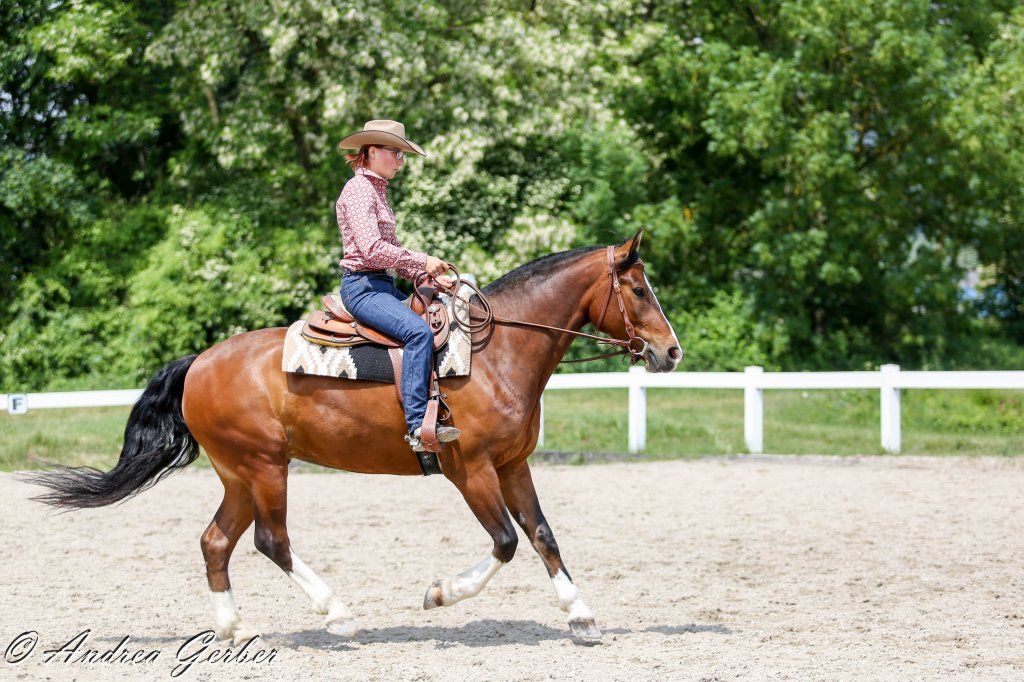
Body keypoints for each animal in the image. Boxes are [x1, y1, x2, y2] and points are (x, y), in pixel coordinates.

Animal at [28, 230, 682, 644]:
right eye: (639, 290)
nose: (671, 351)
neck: (495, 354)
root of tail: (198, 364)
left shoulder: (513, 465)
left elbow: (542, 536)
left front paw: (581, 616)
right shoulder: (469, 469)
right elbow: (504, 542)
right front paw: (439, 593)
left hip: (239, 472)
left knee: (217, 542)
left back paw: (235, 628)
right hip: (265, 467)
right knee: (271, 540)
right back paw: (337, 614)